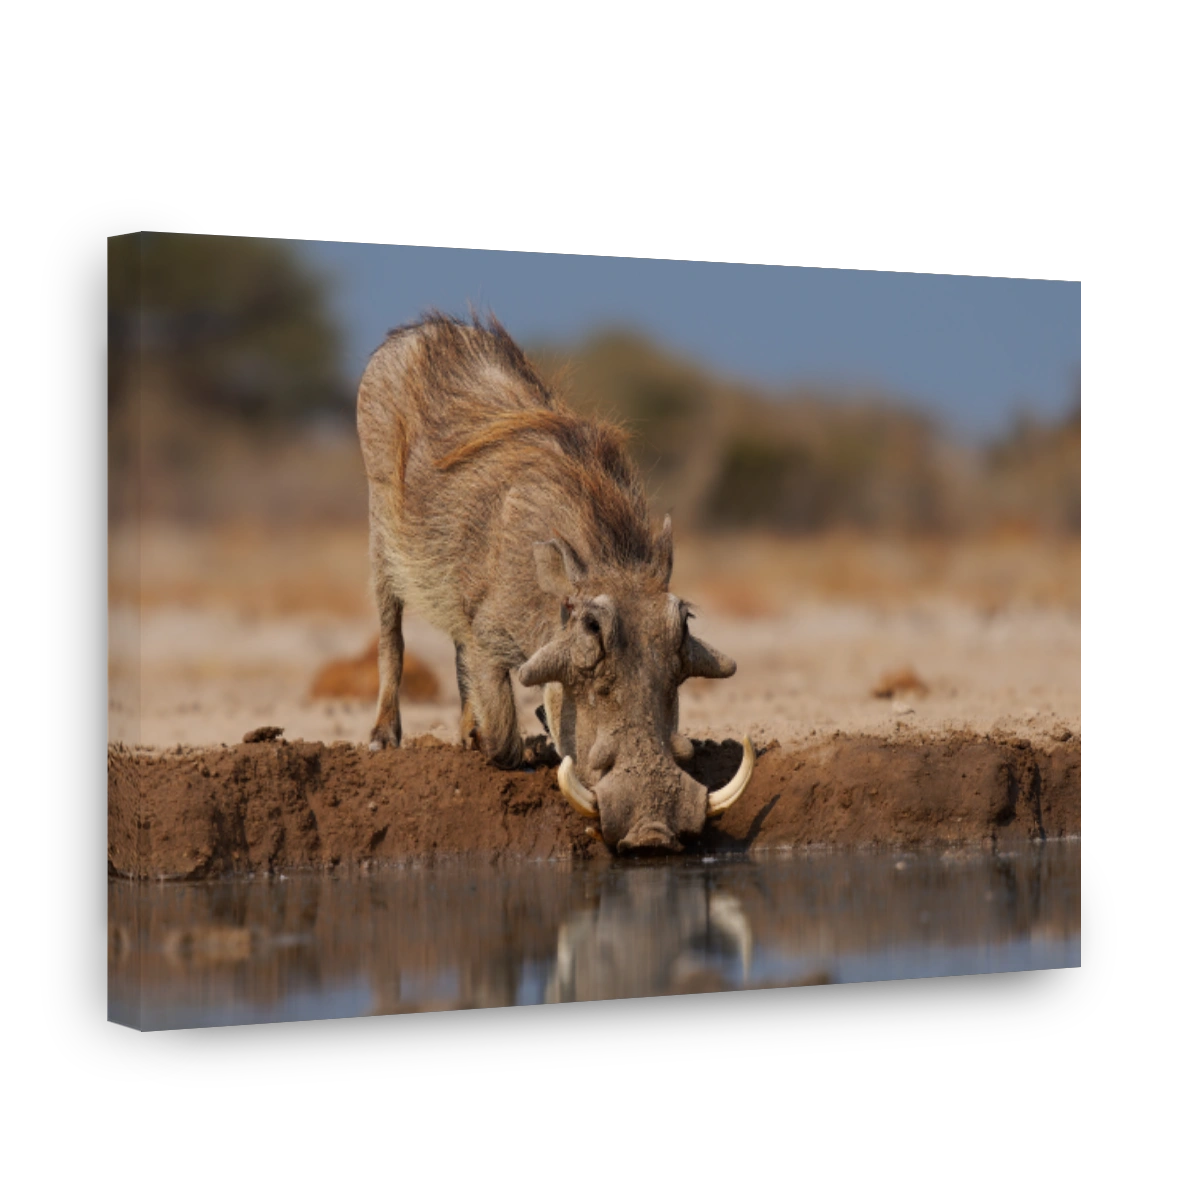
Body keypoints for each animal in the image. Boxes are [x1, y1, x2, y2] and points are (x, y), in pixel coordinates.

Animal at [356, 310, 754, 854]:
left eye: (684, 625)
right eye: (590, 628)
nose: (652, 833)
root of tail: (416, 330)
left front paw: (500, 734)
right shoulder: (488, 633)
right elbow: (503, 735)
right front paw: (508, 746)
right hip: (381, 537)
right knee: (390, 637)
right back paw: (383, 738)